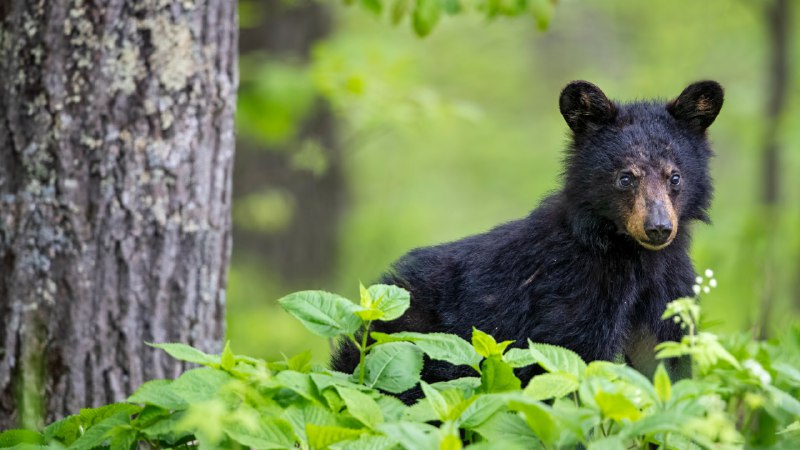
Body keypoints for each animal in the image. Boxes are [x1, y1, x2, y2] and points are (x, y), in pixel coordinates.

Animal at [332, 80, 723, 400]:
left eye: (674, 176)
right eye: (625, 177)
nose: (658, 227)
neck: (633, 257)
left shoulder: (669, 289)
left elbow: (666, 364)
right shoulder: (569, 295)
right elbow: (567, 370)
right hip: (406, 344)